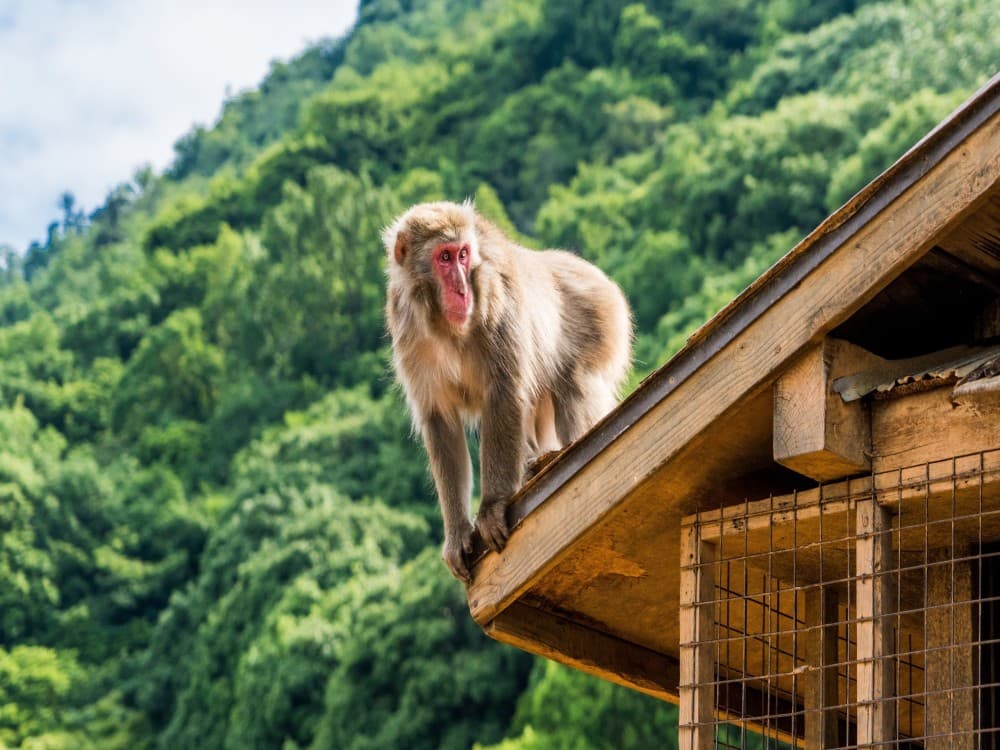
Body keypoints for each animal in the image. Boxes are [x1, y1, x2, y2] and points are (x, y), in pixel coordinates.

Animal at [383, 201, 632, 583]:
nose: (462, 290)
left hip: (603, 322)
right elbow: (440, 421)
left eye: (463, 255)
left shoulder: (496, 303)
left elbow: (504, 393)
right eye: (444, 257)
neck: (445, 326)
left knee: (574, 385)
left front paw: (492, 506)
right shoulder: (408, 330)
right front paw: (456, 532)